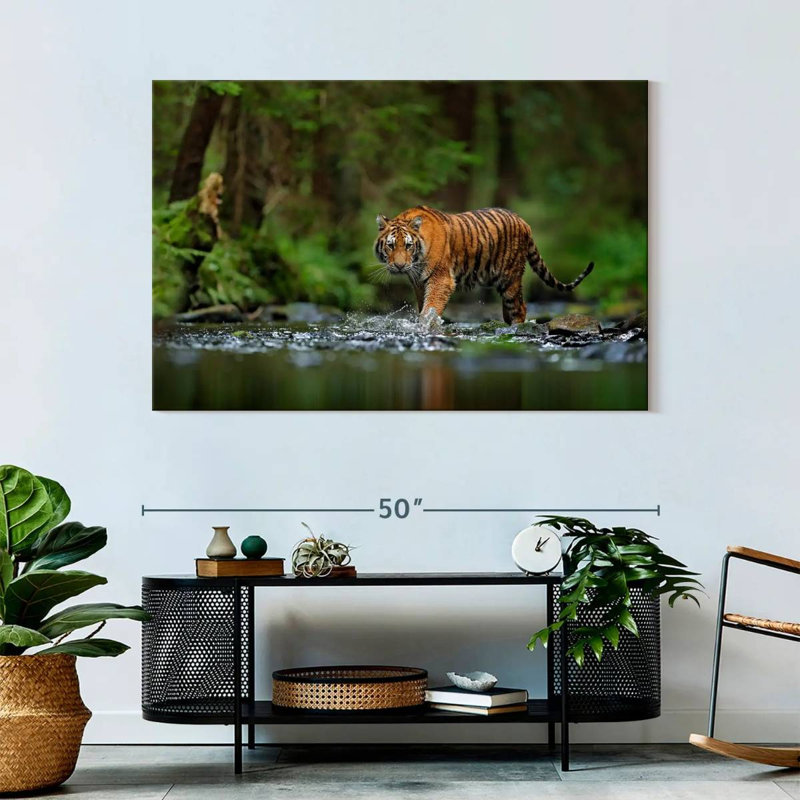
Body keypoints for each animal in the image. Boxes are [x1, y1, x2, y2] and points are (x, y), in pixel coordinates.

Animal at [374, 205, 594, 324]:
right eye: (391, 246)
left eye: (408, 245)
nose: (399, 266)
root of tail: (524, 222)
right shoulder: (419, 283)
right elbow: (423, 306)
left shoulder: (441, 279)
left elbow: (431, 308)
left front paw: (426, 325)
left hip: (510, 279)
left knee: (520, 307)